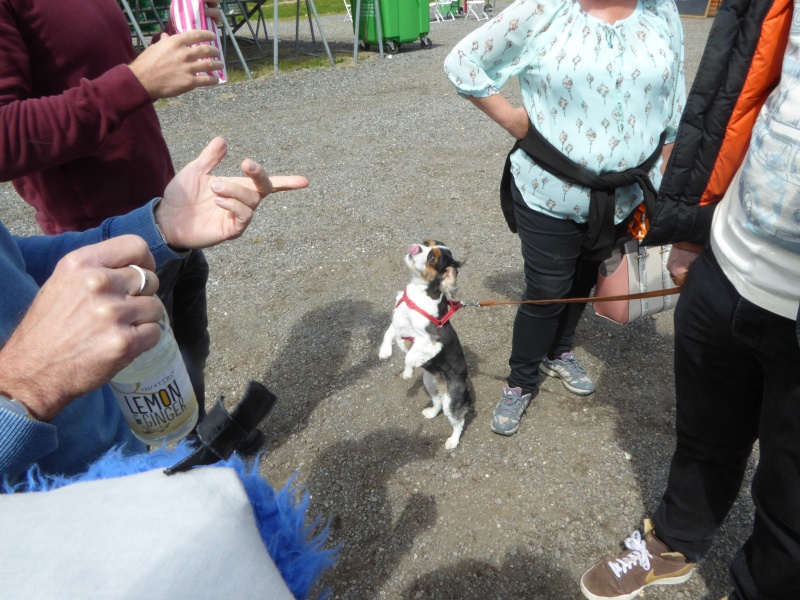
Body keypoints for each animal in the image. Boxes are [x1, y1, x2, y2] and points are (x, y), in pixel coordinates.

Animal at [378, 241, 472, 448]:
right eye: (426, 242)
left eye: (432, 258)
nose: (415, 247)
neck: (418, 292)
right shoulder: (398, 321)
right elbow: (388, 334)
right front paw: (384, 352)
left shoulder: (429, 340)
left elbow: (409, 356)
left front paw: (407, 372)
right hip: (429, 382)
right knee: (437, 403)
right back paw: (430, 412)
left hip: (452, 400)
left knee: (458, 420)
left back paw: (452, 441)